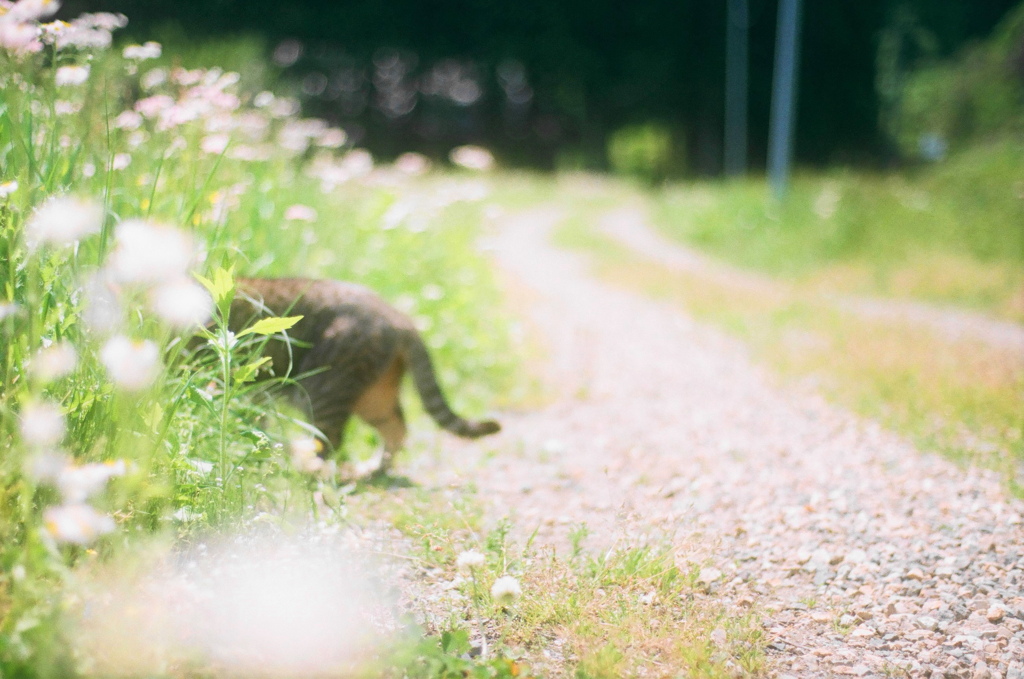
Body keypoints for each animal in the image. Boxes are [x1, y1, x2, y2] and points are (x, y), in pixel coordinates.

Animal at [232, 278, 503, 475]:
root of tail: (397, 316)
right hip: (373, 399)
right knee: (397, 427)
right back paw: (374, 469)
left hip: (323, 388)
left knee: (329, 440)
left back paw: (307, 470)